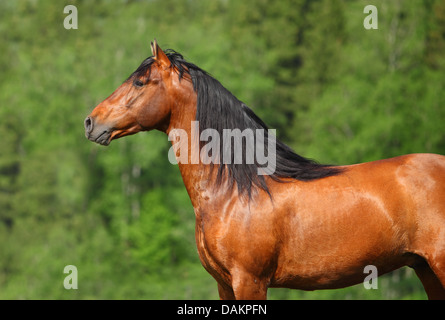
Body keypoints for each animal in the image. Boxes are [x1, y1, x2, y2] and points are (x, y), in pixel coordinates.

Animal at [84, 40, 444, 300]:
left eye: (140, 82)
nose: (91, 121)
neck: (235, 191)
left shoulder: (250, 281)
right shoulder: (224, 284)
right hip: (425, 269)